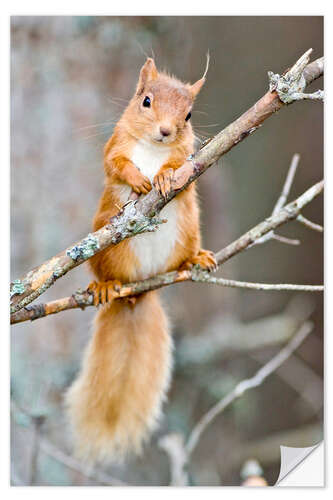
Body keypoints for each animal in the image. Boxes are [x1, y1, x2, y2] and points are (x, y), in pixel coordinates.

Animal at [65, 57, 215, 464]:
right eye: (145, 101)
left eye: (189, 115)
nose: (165, 131)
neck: (151, 148)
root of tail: (139, 291)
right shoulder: (114, 144)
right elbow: (114, 163)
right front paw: (138, 178)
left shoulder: (189, 159)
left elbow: (180, 168)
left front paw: (162, 176)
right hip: (105, 244)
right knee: (105, 271)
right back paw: (104, 286)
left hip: (188, 230)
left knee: (183, 258)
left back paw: (195, 260)